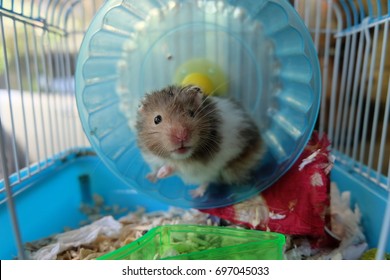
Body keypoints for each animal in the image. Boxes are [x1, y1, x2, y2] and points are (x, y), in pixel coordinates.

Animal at [135, 85, 266, 197]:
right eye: (157, 119)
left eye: (191, 113)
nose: (181, 136)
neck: (171, 157)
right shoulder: (150, 157)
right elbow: (155, 168)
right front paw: (150, 177)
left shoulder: (194, 166)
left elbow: (175, 167)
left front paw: (162, 174)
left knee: (206, 182)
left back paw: (194, 194)